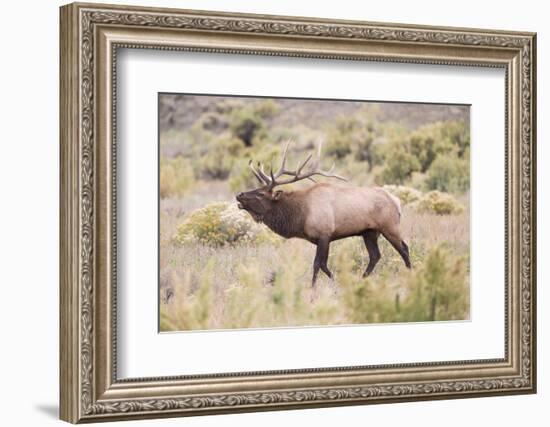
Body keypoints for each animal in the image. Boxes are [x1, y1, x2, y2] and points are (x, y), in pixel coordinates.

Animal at [235, 141, 412, 288]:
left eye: (261, 194)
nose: (239, 195)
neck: (300, 216)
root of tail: (396, 201)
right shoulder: (321, 238)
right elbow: (324, 265)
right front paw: (336, 283)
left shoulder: (324, 235)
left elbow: (317, 264)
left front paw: (313, 290)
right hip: (369, 232)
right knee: (375, 256)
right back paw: (362, 280)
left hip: (389, 226)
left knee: (404, 249)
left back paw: (411, 275)